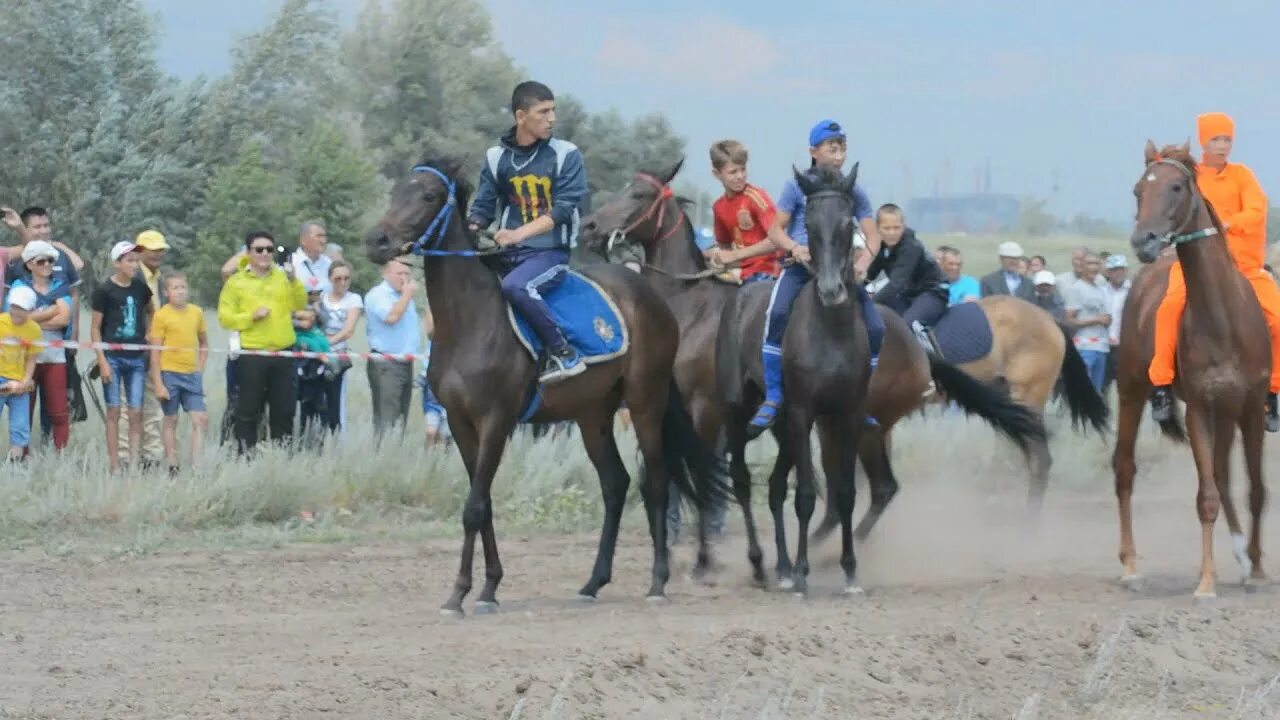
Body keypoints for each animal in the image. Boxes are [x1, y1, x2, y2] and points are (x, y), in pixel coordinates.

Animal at [366, 154, 732, 614]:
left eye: (429, 196)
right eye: (398, 190)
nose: (376, 239)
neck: (471, 321)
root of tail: (651, 297)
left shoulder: (496, 421)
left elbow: (473, 507)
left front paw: (461, 593)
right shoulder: (460, 423)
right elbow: (483, 504)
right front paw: (486, 587)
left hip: (646, 402)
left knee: (656, 483)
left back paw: (658, 581)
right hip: (593, 414)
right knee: (615, 485)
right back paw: (593, 582)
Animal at [581, 155, 1049, 584]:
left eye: (639, 194)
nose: (588, 226)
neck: (691, 308)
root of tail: (919, 350)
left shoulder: (706, 409)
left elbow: (703, 476)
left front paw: (705, 559)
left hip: (866, 422)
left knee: (880, 485)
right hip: (829, 424)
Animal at [1111, 139, 1269, 594]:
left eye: (1177, 186)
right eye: (1137, 190)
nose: (1144, 241)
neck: (1223, 319)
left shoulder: (1248, 406)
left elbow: (1255, 489)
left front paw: (1257, 569)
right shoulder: (1200, 405)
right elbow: (1207, 496)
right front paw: (1206, 583)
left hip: (1228, 411)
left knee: (1225, 475)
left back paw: (1243, 555)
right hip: (1131, 389)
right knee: (1124, 468)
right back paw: (1130, 565)